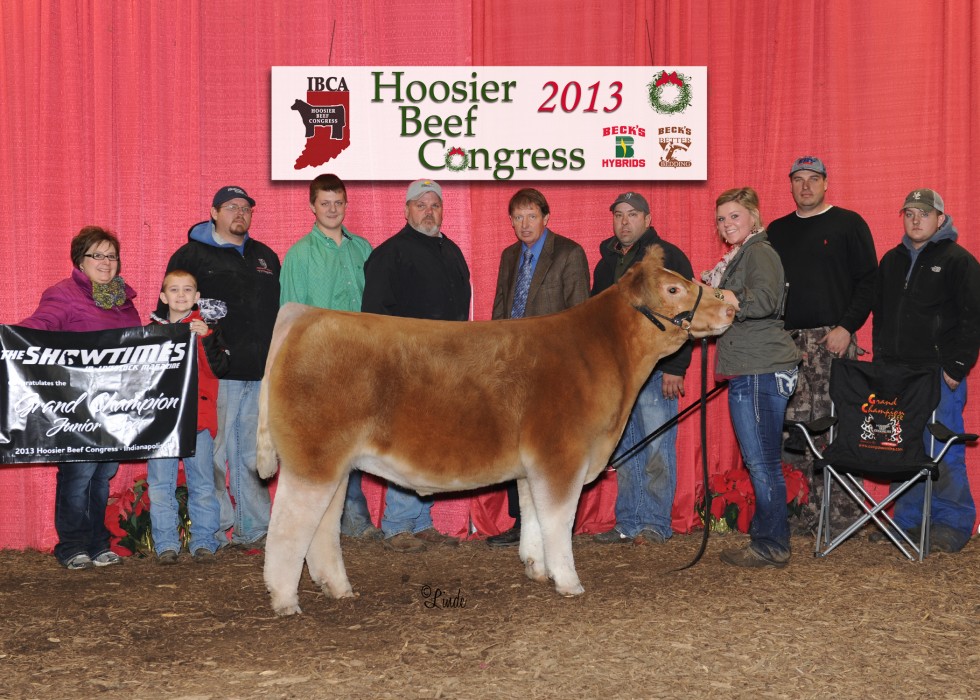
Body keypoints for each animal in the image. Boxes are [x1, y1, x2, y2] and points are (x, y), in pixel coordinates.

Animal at [257, 248, 734, 615]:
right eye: (673, 289)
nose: (730, 304)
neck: (602, 354)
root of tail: (305, 314)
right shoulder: (561, 456)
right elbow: (559, 519)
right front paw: (569, 581)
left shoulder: (533, 465)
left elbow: (535, 517)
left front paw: (538, 569)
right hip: (312, 462)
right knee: (287, 527)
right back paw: (285, 600)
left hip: (335, 466)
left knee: (321, 529)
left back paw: (337, 589)